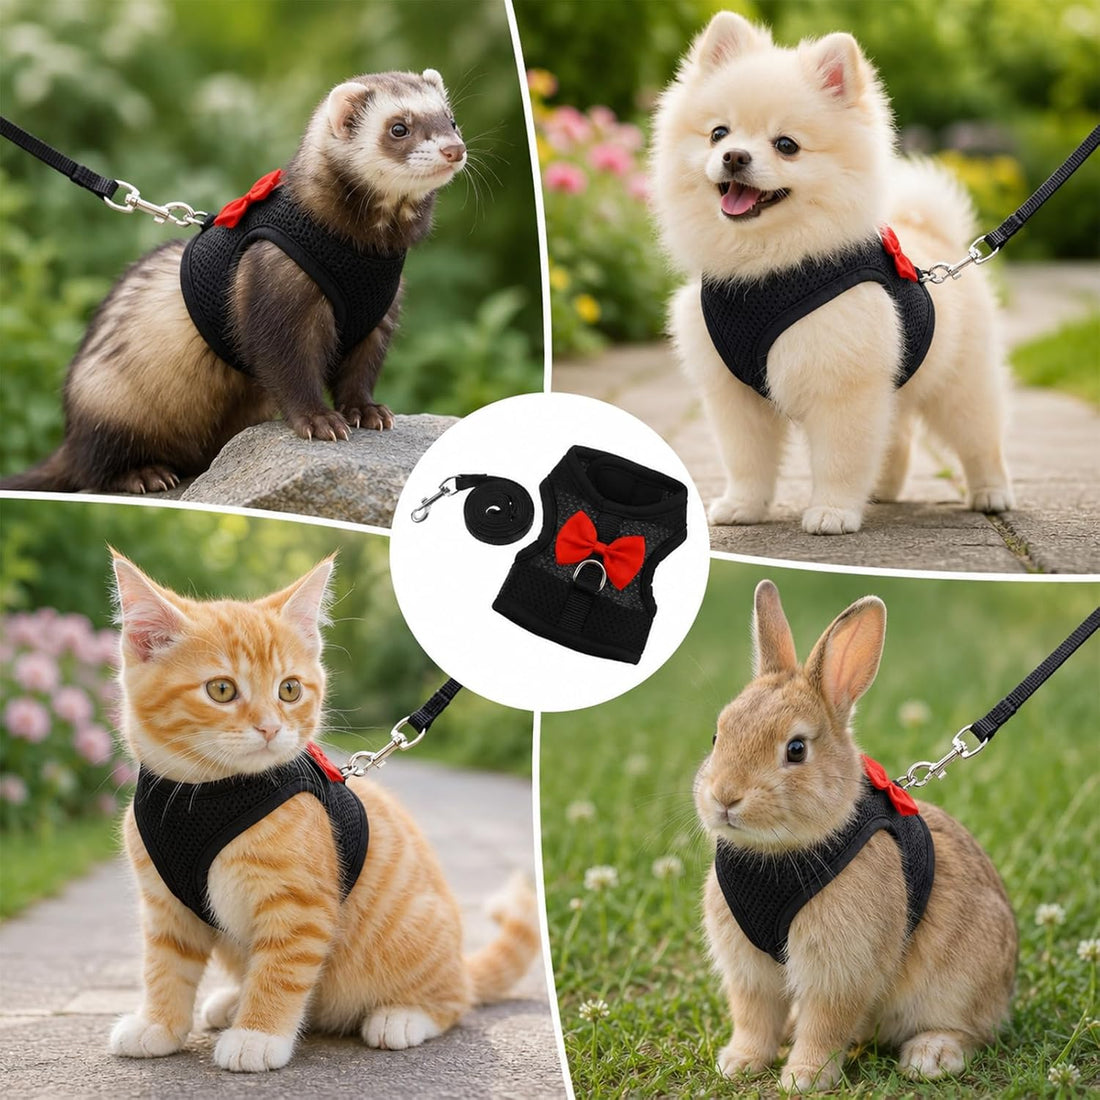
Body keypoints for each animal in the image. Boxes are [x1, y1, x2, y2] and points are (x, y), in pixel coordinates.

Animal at [694, 580, 1016, 1092]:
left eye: (796, 749)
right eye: (717, 735)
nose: (725, 796)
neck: (779, 852)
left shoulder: (840, 968)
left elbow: (827, 1023)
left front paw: (802, 1079)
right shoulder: (748, 970)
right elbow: (753, 1016)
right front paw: (739, 1063)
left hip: (960, 982)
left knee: (970, 1029)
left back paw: (930, 1057)